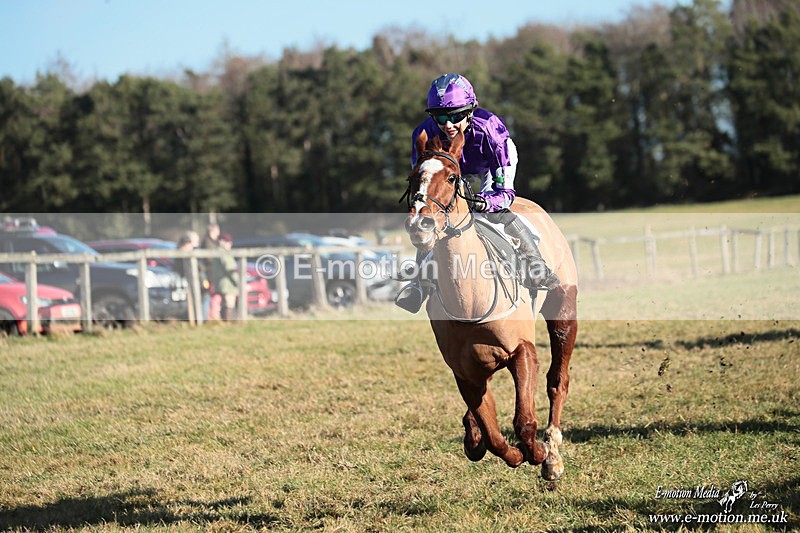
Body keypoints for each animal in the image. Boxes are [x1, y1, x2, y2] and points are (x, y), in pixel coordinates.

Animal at [402, 130, 578, 480]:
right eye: (413, 177)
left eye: (452, 176)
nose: (420, 225)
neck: (470, 299)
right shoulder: (465, 372)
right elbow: (493, 434)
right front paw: (503, 449)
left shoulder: (522, 351)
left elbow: (524, 421)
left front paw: (538, 452)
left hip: (563, 311)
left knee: (557, 382)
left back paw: (552, 454)